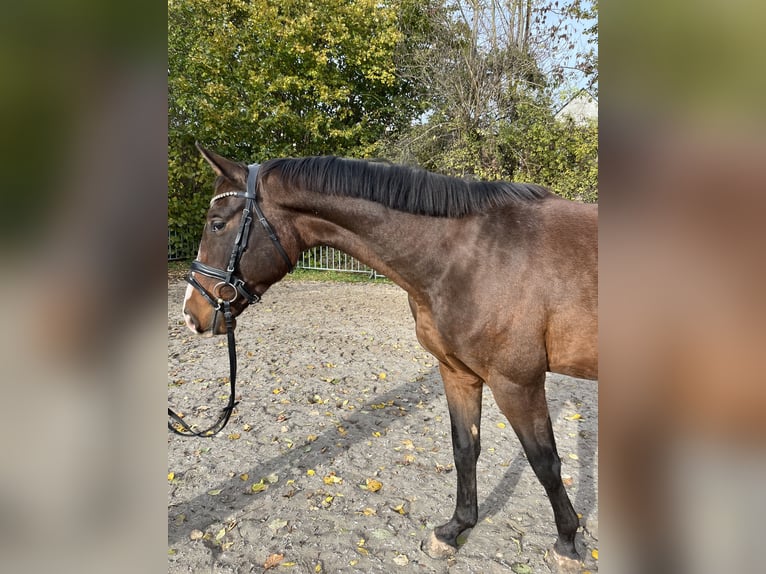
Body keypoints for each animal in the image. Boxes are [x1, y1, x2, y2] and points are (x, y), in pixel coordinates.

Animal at [181, 145, 598, 569]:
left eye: (217, 224)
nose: (191, 314)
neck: (473, 257)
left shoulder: (518, 383)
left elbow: (545, 463)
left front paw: (567, 543)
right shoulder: (457, 373)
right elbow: (465, 449)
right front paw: (454, 529)